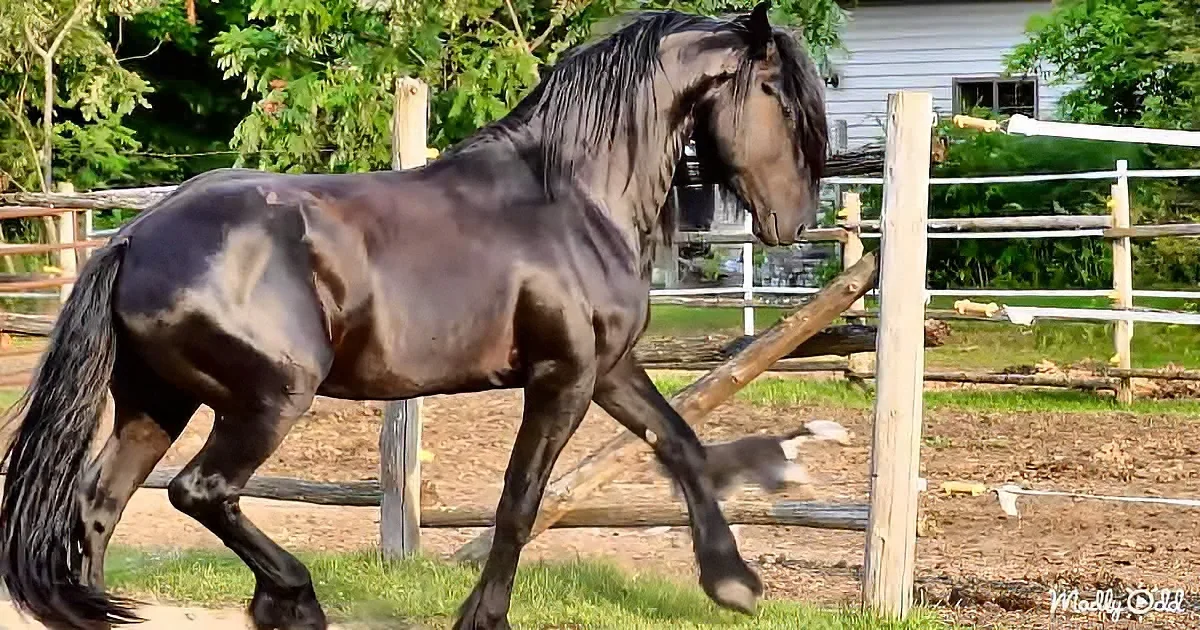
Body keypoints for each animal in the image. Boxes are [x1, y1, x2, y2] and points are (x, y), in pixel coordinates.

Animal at [0, 4, 827, 629]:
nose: (792, 222)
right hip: (268, 399)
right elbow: (519, 501)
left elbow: (681, 444)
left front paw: (733, 583)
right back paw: (292, 599)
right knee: (199, 492)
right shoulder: (561, 377)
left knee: (99, 505)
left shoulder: (609, 368)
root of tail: (134, 238)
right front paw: (483, 616)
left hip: (157, 403)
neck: (571, 198)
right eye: (777, 95)